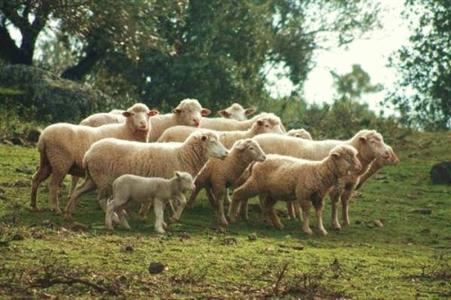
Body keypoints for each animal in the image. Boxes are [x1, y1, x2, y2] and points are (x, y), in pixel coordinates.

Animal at [31, 103, 159, 213]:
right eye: (132, 114)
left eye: (148, 114)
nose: (143, 124)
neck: (127, 131)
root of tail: (43, 137)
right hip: (60, 161)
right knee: (53, 184)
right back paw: (55, 208)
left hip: (47, 161)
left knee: (36, 179)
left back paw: (34, 206)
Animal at [63, 129, 230, 218]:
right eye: (212, 142)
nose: (227, 153)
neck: (182, 155)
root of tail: (88, 153)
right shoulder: (170, 184)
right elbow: (179, 202)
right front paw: (174, 217)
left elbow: (169, 203)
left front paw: (155, 214)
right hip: (103, 179)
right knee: (102, 200)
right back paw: (115, 217)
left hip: (93, 178)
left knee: (78, 191)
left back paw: (69, 211)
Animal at [230, 144, 364, 236]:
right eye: (347, 158)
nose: (360, 167)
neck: (319, 171)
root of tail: (257, 162)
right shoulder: (303, 195)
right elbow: (306, 212)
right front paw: (307, 229)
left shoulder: (318, 198)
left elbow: (319, 213)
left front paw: (321, 230)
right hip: (256, 183)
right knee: (237, 193)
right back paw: (232, 216)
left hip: (273, 192)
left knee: (268, 206)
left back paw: (277, 224)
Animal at [251, 129, 392, 230]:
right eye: (373, 142)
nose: (387, 154)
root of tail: (254, 139)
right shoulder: (338, 184)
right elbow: (335, 202)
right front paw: (335, 224)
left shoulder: (351, 183)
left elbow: (345, 202)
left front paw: (346, 221)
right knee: (262, 197)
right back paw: (268, 219)